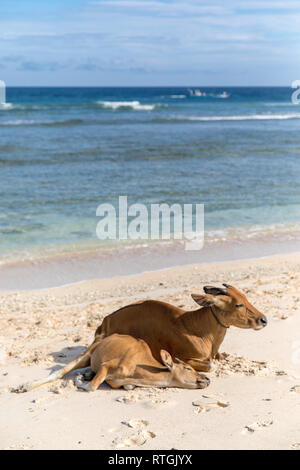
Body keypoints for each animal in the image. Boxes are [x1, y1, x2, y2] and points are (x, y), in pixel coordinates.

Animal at [15, 334, 209, 392]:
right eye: (188, 368)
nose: (207, 379)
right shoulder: (106, 366)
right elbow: (92, 387)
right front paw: (79, 380)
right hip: (87, 354)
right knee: (59, 372)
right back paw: (25, 386)